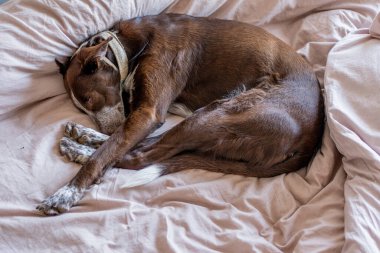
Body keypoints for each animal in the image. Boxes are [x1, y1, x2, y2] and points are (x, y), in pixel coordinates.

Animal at [37, 13, 326, 215]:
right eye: (81, 106)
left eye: (90, 99)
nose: (106, 128)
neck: (131, 47)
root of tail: (312, 140)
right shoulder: (141, 115)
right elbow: (117, 143)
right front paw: (92, 137)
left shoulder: (149, 113)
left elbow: (106, 154)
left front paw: (66, 193)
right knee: (147, 147)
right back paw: (82, 140)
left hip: (220, 114)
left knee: (140, 157)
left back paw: (81, 149)